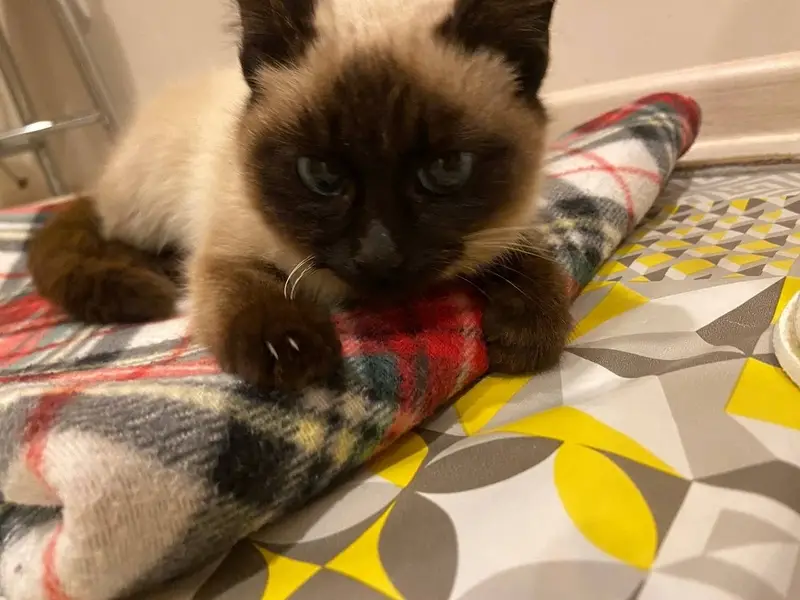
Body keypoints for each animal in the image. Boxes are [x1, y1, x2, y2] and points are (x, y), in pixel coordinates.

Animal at [27, 0, 571, 393]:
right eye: (321, 175)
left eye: (446, 169)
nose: (379, 253)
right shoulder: (226, 250)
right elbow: (247, 292)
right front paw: (293, 353)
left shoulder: (506, 227)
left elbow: (535, 265)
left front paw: (524, 335)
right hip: (149, 208)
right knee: (113, 237)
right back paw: (156, 274)